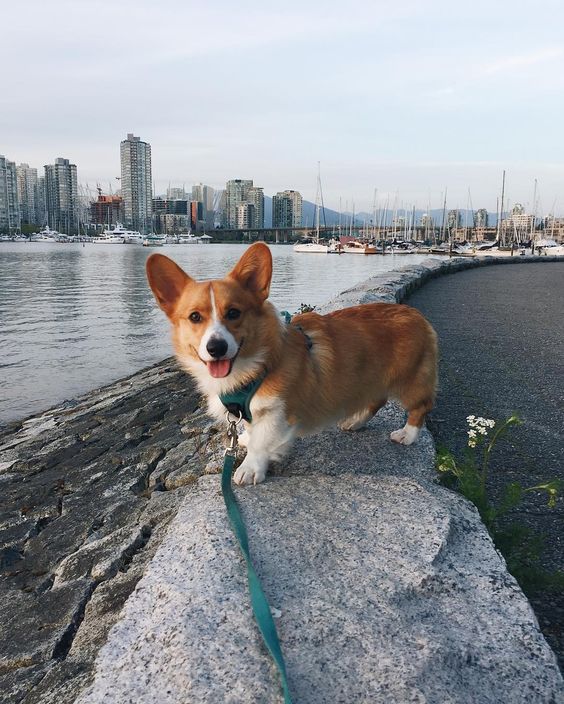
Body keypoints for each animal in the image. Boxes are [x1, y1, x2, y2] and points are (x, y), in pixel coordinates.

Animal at [145, 242, 436, 484]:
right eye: (195, 317)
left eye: (234, 313)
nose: (216, 348)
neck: (255, 366)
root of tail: (417, 315)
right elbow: (251, 429)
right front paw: (246, 438)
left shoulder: (278, 411)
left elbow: (262, 443)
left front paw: (250, 469)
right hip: (371, 377)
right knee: (376, 399)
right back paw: (355, 422)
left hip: (409, 379)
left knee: (420, 407)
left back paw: (406, 435)